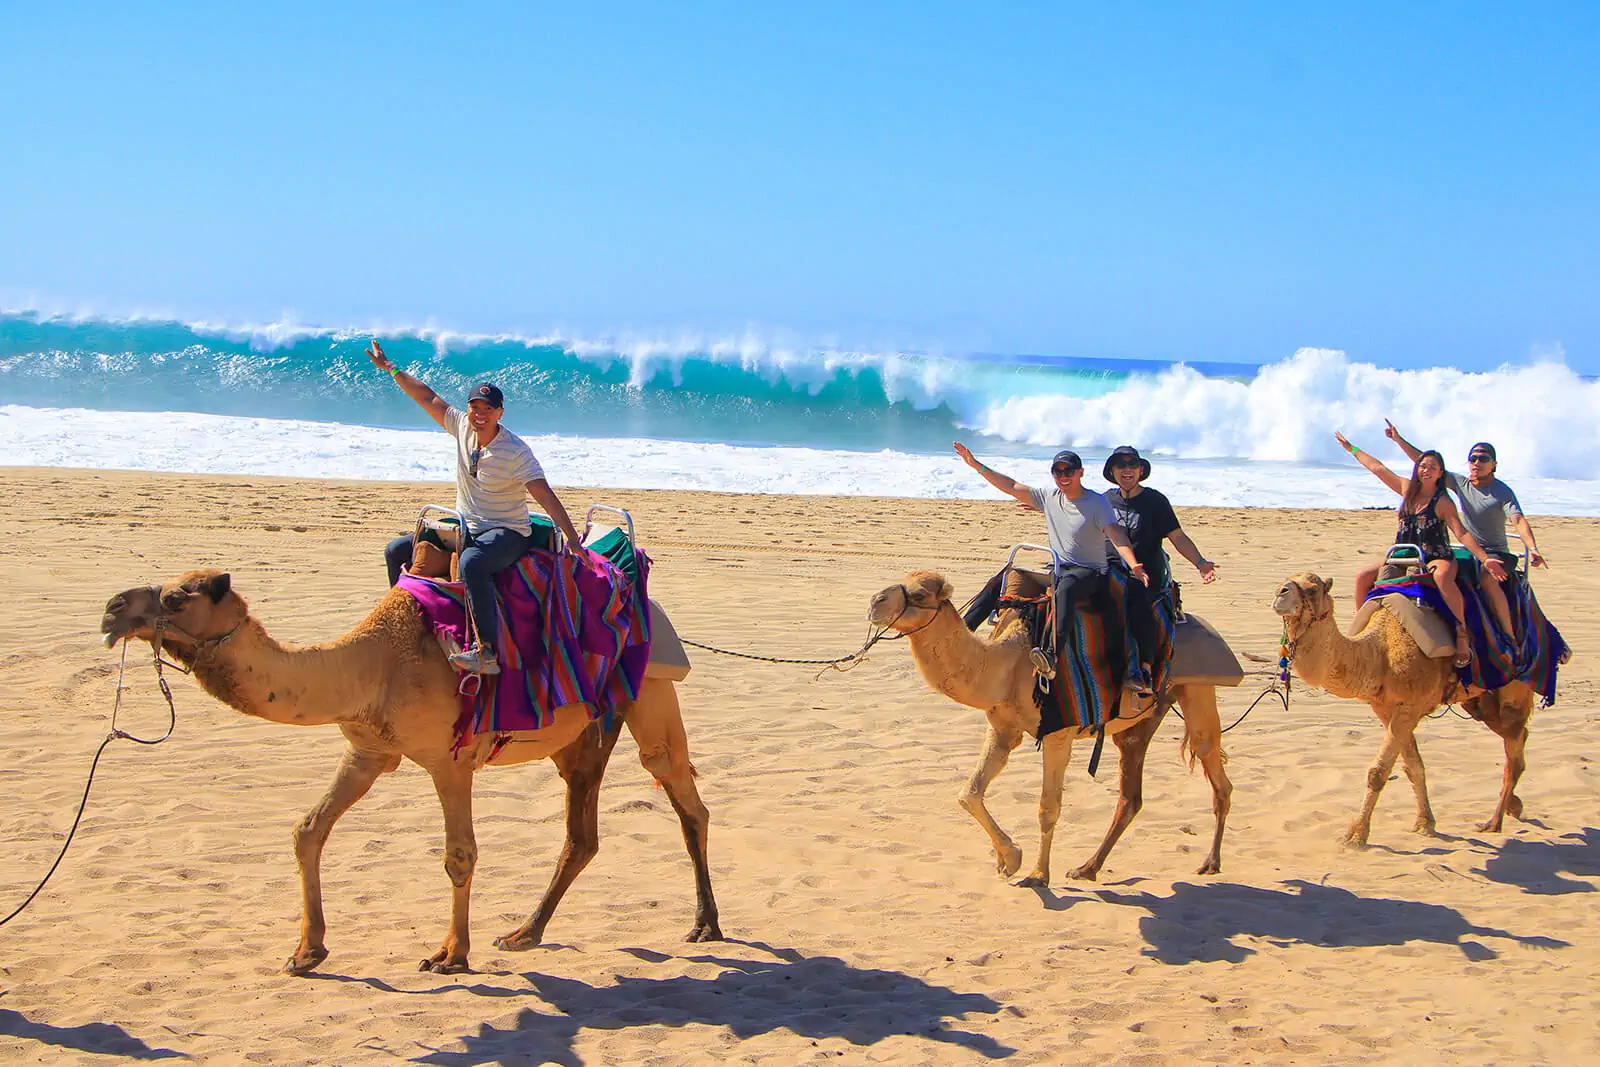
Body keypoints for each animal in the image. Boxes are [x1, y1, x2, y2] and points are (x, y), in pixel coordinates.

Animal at [100, 566, 720, 979]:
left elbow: (460, 854)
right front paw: (307, 951)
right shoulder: (369, 752)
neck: (367, 666)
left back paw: (705, 924)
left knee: (678, 789)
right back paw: (525, 932)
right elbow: (308, 830)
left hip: (651, 688)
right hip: (581, 733)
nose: (111, 608)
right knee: (583, 832)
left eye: (177, 597)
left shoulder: (450, 760)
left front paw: (451, 954)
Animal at [876, 572, 1235, 889]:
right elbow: (970, 794)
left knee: (1212, 761)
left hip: (1198, 688)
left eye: (920, 594)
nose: (875, 602)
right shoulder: (1003, 729)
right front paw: (1008, 859)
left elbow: (1047, 808)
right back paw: (1087, 868)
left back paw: (1211, 862)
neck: (1008, 664)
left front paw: (1037, 874)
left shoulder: (1057, 733)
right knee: (1131, 792)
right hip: (1143, 718)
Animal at [1273, 572, 1536, 844]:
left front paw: (1356, 836)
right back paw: (1513, 806)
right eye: (1285, 582)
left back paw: (1493, 822)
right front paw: (1425, 823)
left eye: (1313, 590)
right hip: (1479, 702)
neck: (1380, 654)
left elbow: (1378, 772)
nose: (1280, 593)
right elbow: (1413, 767)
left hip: (1513, 691)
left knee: (1514, 747)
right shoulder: (1385, 709)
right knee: (1517, 736)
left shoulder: (1409, 706)